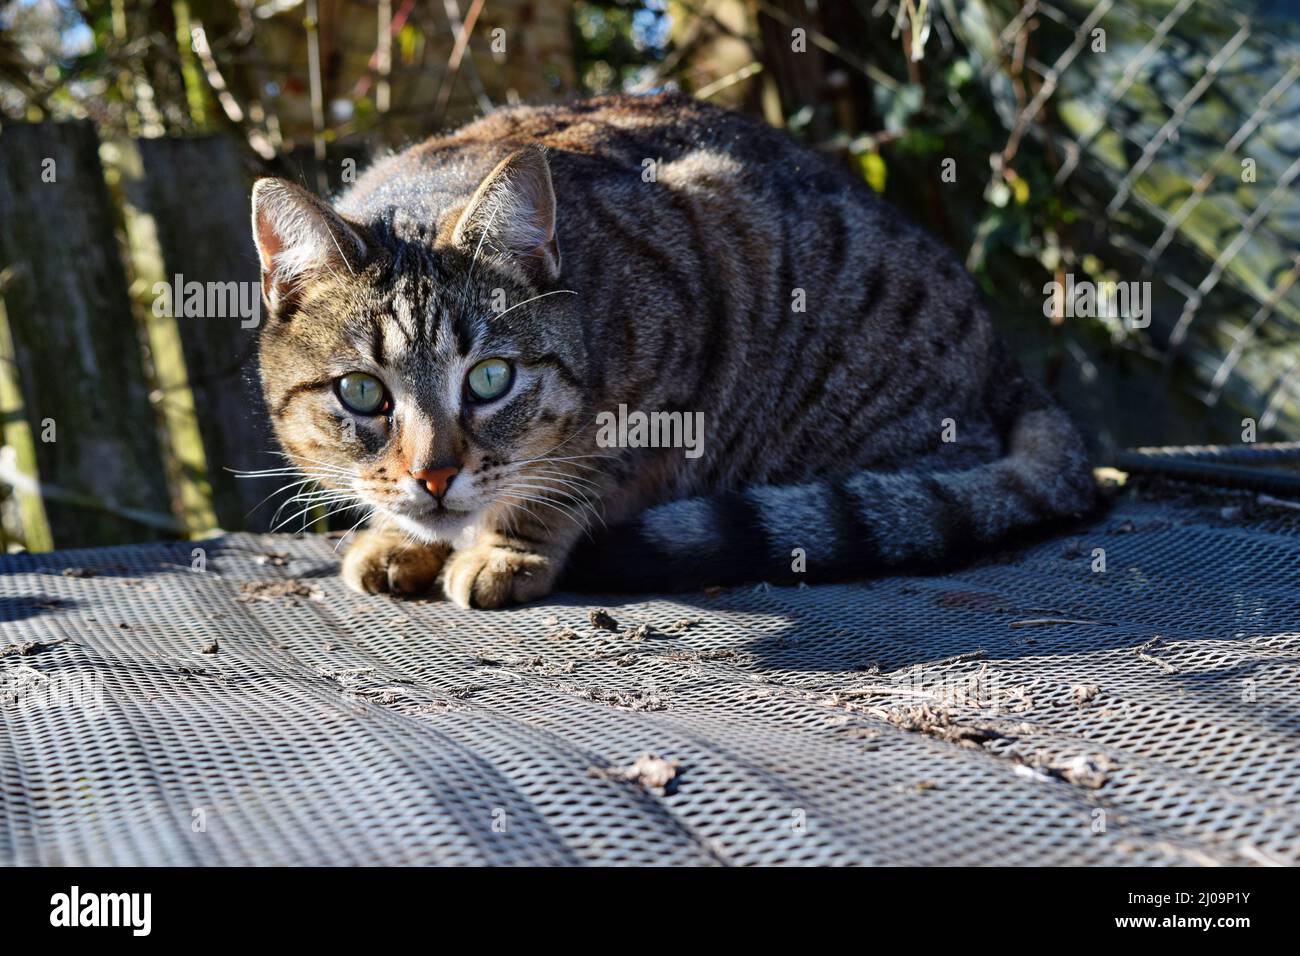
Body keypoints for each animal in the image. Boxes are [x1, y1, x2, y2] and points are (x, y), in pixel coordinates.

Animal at [248, 93, 1092, 608]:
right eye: (363, 393)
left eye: (490, 380)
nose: (434, 476)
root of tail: (1013, 373)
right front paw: (399, 539)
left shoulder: (681, 340)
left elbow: (569, 479)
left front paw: (507, 550)